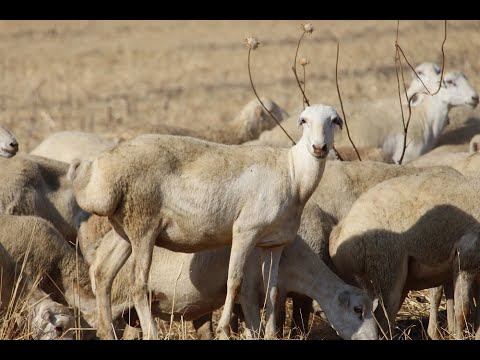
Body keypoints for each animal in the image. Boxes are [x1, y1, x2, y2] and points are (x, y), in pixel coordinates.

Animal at [68, 104, 344, 340]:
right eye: (304, 120)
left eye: (334, 120)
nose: (319, 148)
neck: (293, 172)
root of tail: (105, 171)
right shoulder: (245, 231)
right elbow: (234, 282)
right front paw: (223, 329)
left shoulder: (274, 243)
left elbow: (272, 291)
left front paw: (271, 334)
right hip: (143, 225)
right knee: (137, 284)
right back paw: (151, 332)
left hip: (124, 229)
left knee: (104, 272)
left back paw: (107, 331)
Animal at [330, 167, 480, 338]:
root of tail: (343, 229)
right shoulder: (466, 261)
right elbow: (462, 311)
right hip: (388, 272)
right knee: (383, 319)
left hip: (367, 281)